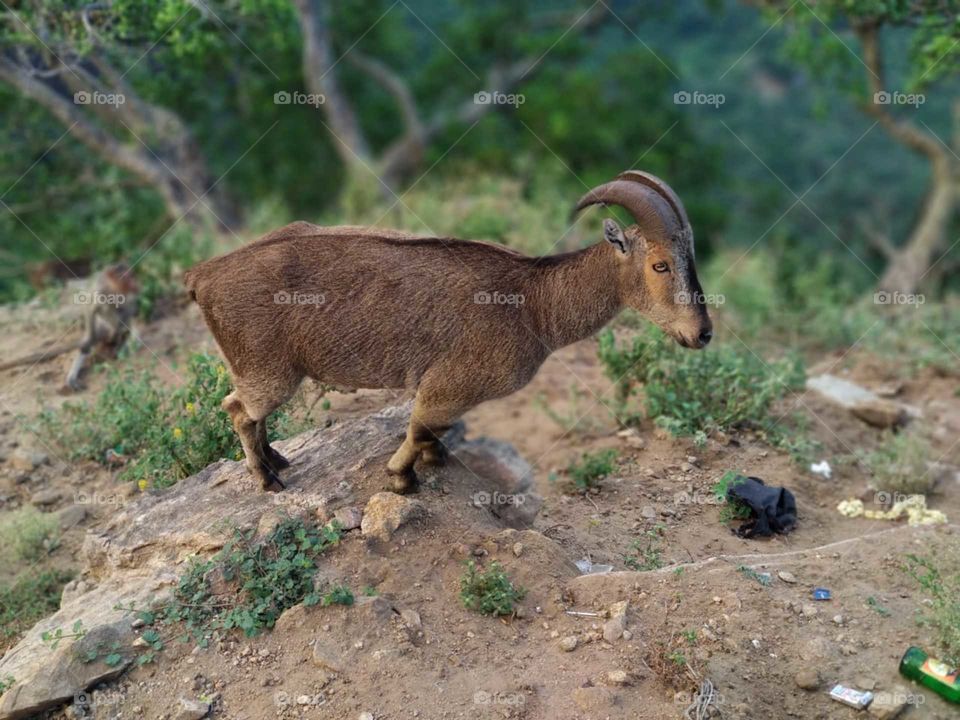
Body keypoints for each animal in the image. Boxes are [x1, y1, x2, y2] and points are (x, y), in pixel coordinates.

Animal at [185, 171, 713, 492]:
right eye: (660, 264)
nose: (702, 334)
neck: (532, 303)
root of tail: (204, 275)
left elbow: (428, 432)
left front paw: (432, 460)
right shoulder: (450, 384)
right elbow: (419, 425)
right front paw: (402, 479)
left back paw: (277, 460)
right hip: (269, 370)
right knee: (238, 410)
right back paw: (267, 478)